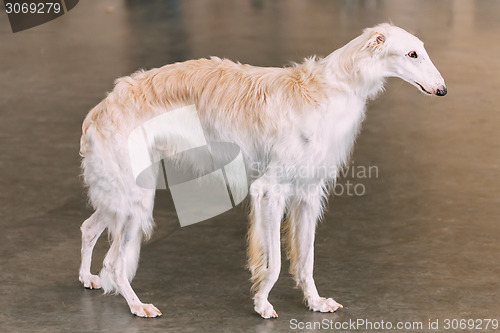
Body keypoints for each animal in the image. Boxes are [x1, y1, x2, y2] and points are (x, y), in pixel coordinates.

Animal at [79, 22, 450, 316]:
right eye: (412, 54)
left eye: (422, 51)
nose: (443, 90)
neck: (333, 88)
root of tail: (100, 108)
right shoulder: (269, 191)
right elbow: (274, 263)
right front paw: (261, 303)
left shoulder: (308, 194)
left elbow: (306, 260)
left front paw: (315, 302)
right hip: (135, 200)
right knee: (115, 263)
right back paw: (137, 306)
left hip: (122, 196)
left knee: (89, 229)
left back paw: (88, 278)